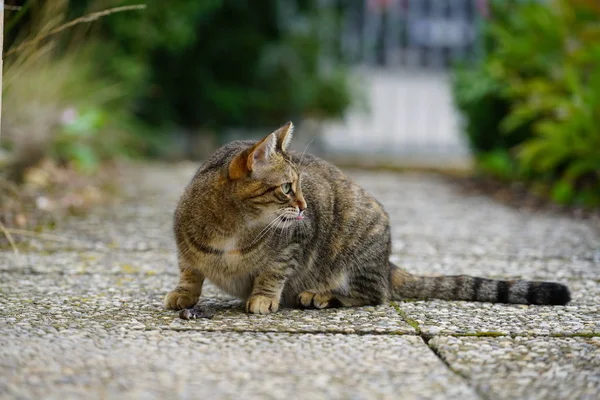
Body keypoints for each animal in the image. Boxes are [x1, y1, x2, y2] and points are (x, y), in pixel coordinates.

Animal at [165, 120, 572, 314]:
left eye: (301, 186)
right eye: (287, 188)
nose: (305, 207)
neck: (234, 228)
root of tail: (387, 262)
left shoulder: (293, 244)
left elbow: (272, 272)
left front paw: (263, 297)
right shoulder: (184, 248)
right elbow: (190, 272)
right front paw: (183, 294)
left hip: (356, 244)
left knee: (376, 294)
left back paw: (321, 295)